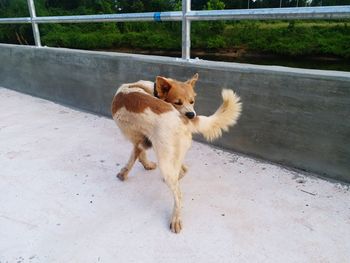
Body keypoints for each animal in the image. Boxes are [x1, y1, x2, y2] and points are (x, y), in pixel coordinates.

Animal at [110, 73, 242, 234]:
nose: (192, 114)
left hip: (165, 161)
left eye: (192, 101)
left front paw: (126, 172)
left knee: (178, 194)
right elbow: (138, 154)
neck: (151, 90)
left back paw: (175, 219)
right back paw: (177, 178)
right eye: (177, 102)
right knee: (183, 170)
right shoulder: (143, 140)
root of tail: (184, 120)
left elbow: (135, 156)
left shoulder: (136, 139)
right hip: (172, 156)